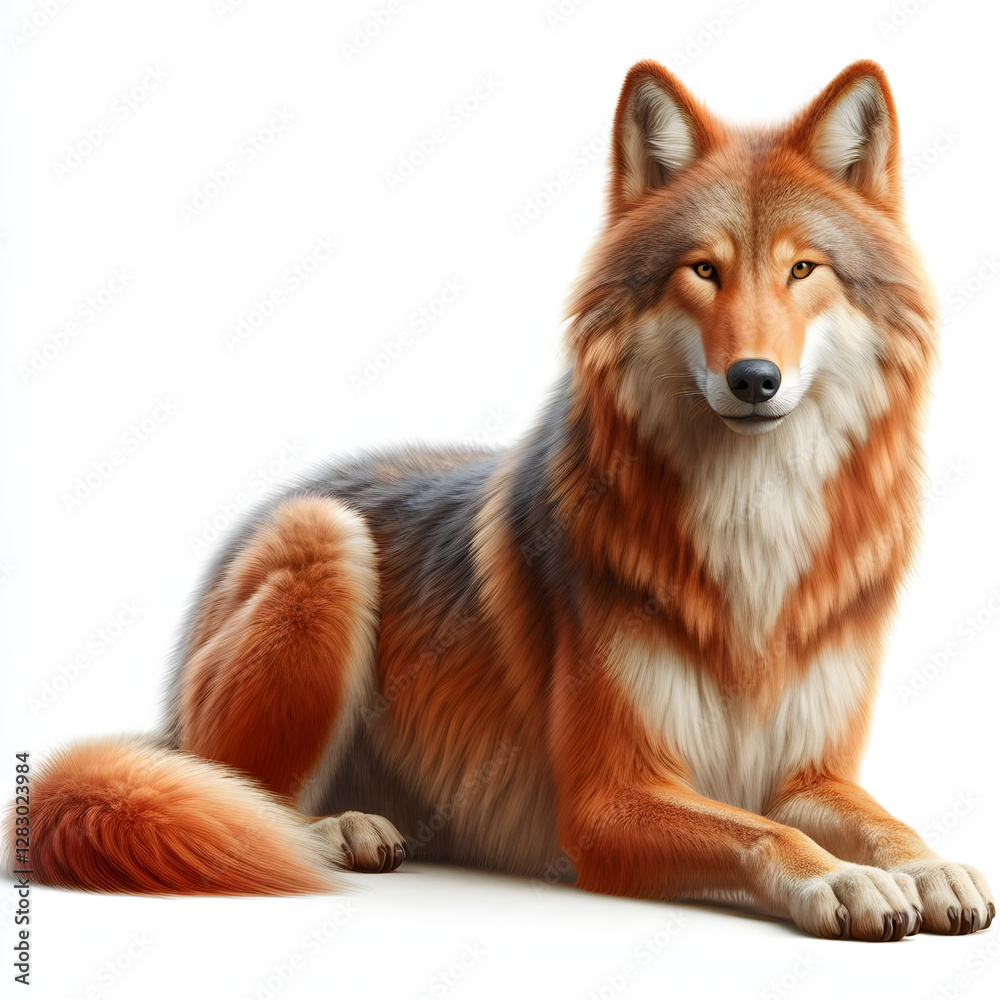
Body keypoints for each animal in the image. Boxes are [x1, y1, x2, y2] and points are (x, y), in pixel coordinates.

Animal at [11, 58, 995, 941]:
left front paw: (930, 865)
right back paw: (337, 830)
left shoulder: (811, 775)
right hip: (326, 544)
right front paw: (844, 882)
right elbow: (766, 835)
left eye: (804, 270)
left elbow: (880, 819)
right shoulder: (609, 798)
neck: (754, 517)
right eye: (703, 271)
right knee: (237, 797)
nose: (754, 379)